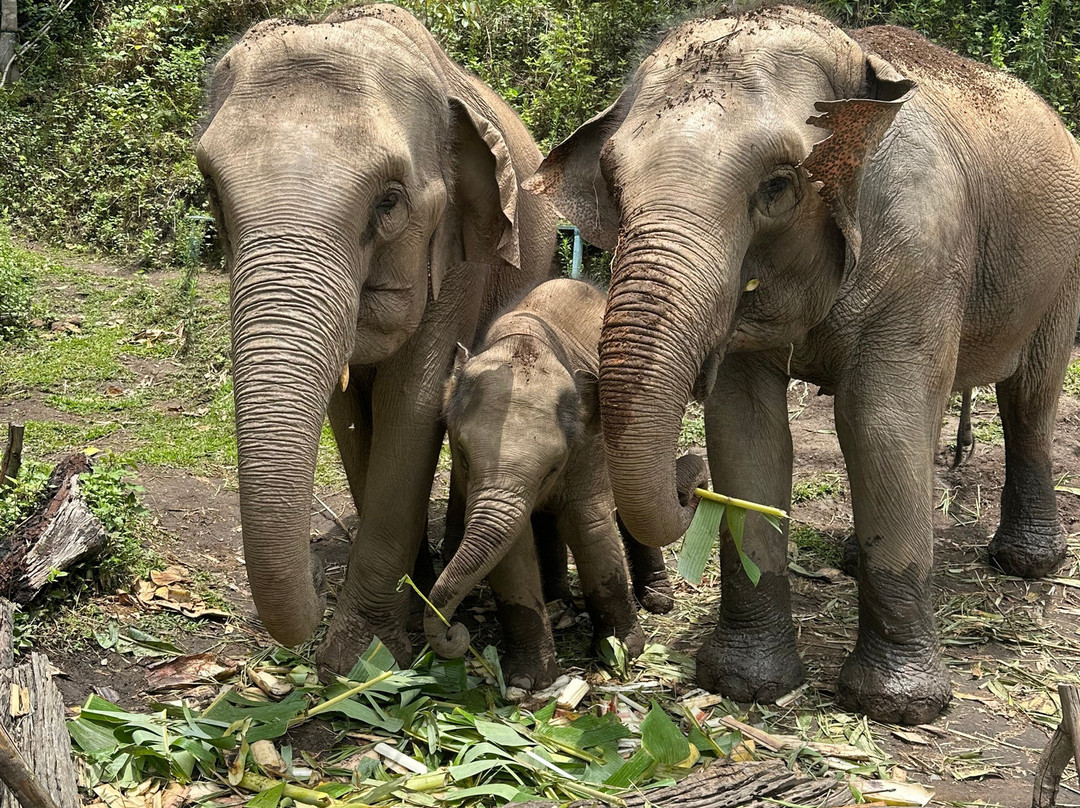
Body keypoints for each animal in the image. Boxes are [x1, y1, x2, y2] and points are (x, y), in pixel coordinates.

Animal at [195, 4, 557, 675]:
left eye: (389, 201)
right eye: (211, 190)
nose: (315, 577)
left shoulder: (459, 258)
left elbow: (411, 407)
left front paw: (360, 660)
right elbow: (349, 417)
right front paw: (394, 615)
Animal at [430, 278, 707, 688]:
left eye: (553, 466)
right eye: (461, 453)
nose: (452, 633)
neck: (526, 341)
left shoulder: (588, 443)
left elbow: (586, 525)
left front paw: (621, 651)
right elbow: (512, 547)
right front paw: (527, 681)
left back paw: (657, 601)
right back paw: (559, 604)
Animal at [525, 5, 1080, 724]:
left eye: (777, 187)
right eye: (615, 188)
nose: (688, 484)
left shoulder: (923, 249)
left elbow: (879, 422)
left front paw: (898, 707)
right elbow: (747, 432)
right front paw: (744, 684)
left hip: (1060, 269)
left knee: (1028, 396)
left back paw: (1026, 563)